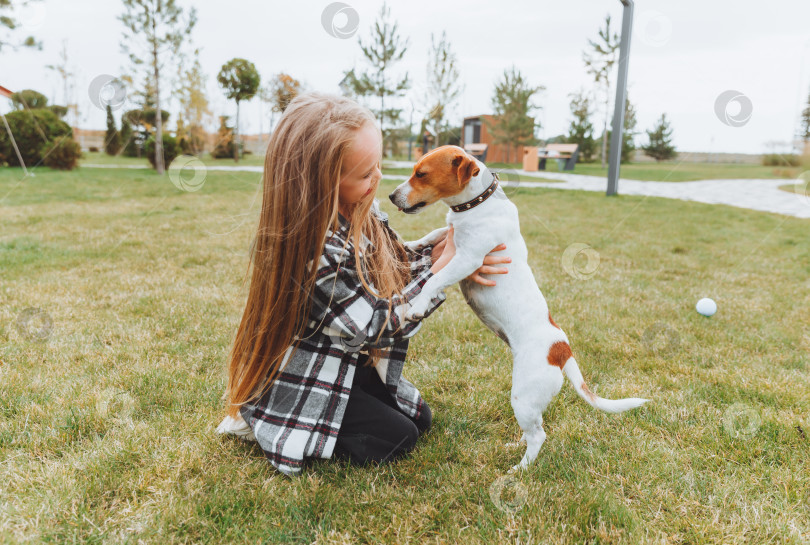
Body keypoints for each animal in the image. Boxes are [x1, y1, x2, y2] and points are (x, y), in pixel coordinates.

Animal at [388, 144, 648, 472]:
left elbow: (434, 278)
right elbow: (434, 234)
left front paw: (417, 305)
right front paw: (410, 245)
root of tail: (562, 349)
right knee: (533, 430)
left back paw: (519, 470)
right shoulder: (450, 236)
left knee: (539, 435)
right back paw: (515, 446)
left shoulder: (469, 259)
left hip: (523, 397)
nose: (391, 196)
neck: (474, 206)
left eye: (421, 174)